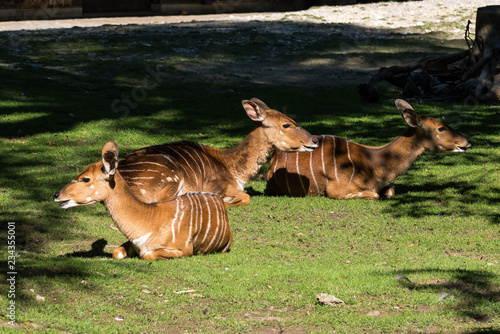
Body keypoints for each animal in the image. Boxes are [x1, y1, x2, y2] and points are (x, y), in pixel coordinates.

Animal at [53, 141, 233, 260]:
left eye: (85, 179)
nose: (56, 195)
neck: (148, 221)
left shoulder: (183, 250)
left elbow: (147, 255)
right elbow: (116, 252)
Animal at [268, 98, 470, 198]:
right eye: (441, 128)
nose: (467, 140)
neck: (375, 165)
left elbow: (390, 192)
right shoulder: (337, 191)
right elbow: (374, 195)